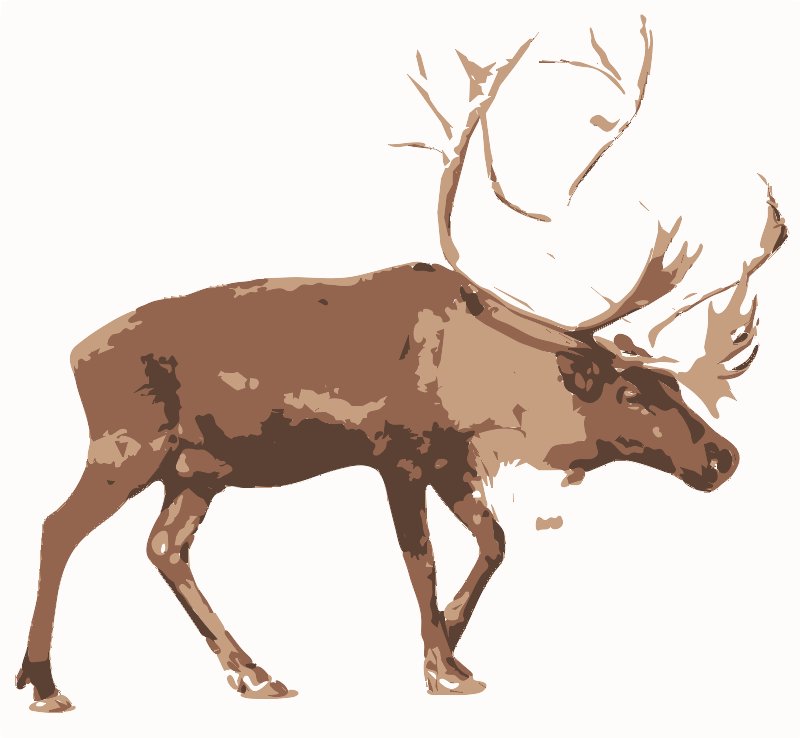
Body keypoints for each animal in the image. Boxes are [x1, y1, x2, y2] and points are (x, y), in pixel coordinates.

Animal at [16, 17, 788, 712]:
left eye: (671, 384)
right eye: (633, 392)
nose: (724, 456)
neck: (485, 383)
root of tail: (74, 353)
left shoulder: (452, 457)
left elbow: (494, 541)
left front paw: (448, 644)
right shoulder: (398, 453)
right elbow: (422, 559)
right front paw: (443, 666)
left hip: (199, 468)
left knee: (164, 547)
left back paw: (254, 673)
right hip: (127, 446)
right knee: (59, 526)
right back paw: (45, 684)